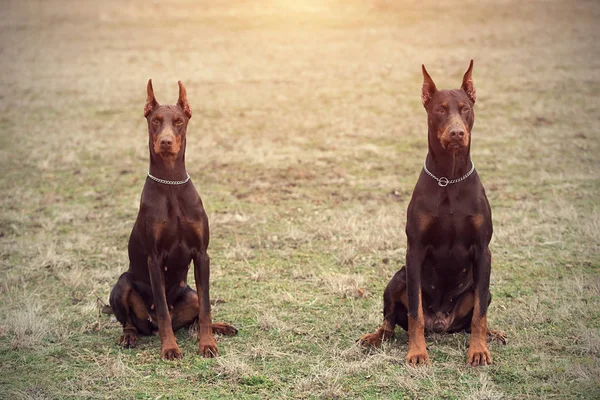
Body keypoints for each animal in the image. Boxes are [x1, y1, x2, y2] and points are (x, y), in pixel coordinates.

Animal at [109, 79, 236, 360]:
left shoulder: (202, 254)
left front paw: (207, 344)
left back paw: (221, 326)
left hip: (190, 295)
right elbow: (163, 311)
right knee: (132, 320)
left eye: (178, 121)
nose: (166, 142)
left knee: (197, 314)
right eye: (155, 120)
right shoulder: (155, 259)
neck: (171, 185)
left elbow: (207, 307)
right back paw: (129, 336)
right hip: (122, 285)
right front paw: (170, 348)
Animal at [360, 60, 506, 366]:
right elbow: (415, 312)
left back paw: (492, 334)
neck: (448, 179)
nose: (457, 133)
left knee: (473, 316)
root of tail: (440, 324)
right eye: (440, 109)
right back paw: (376, 336)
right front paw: (417, 351)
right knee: (390, 320)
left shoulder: (483, 250)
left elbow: (479, 315)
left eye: (465, 108)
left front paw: (478, 350)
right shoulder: (414, 250)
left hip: (482, 289)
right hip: (398, 278)